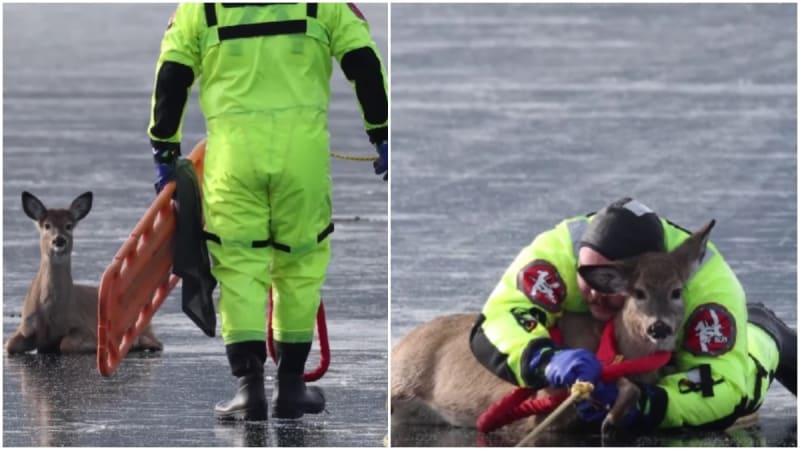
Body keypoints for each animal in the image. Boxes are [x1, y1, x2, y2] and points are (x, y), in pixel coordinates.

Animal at [5, 191, 163, 354]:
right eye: (47, 225)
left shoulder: (82, 325)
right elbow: (9, 344)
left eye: (69, 225)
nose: (59, 240)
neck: (50, 314)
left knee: (155, 342)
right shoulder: (26, 326)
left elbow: (66, 344)